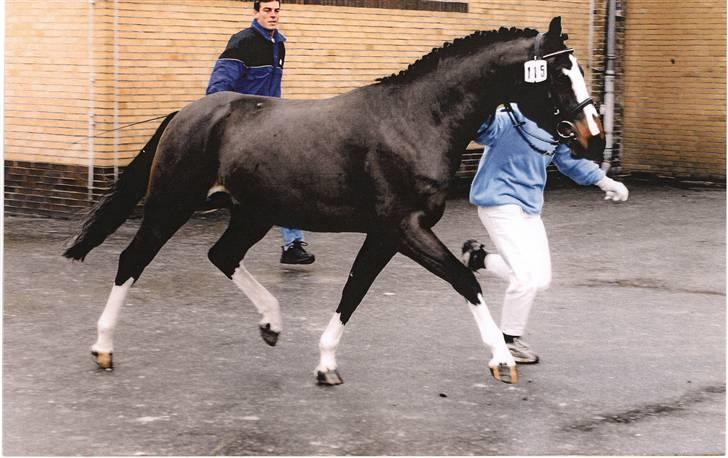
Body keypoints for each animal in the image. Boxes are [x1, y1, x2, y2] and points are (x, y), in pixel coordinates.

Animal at [65, 16, 604, 384]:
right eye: (559, 76)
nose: (593, 139)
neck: (416, 119)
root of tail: (186, 113)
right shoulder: (406, 228)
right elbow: (463, 280)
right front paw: (501, 359)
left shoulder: (386, 234)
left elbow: (354, 290)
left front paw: (325, 363)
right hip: (171, 204)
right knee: (133, 259)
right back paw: (102, 347)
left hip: (253, 213)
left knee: (223, 255)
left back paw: (271, 322)